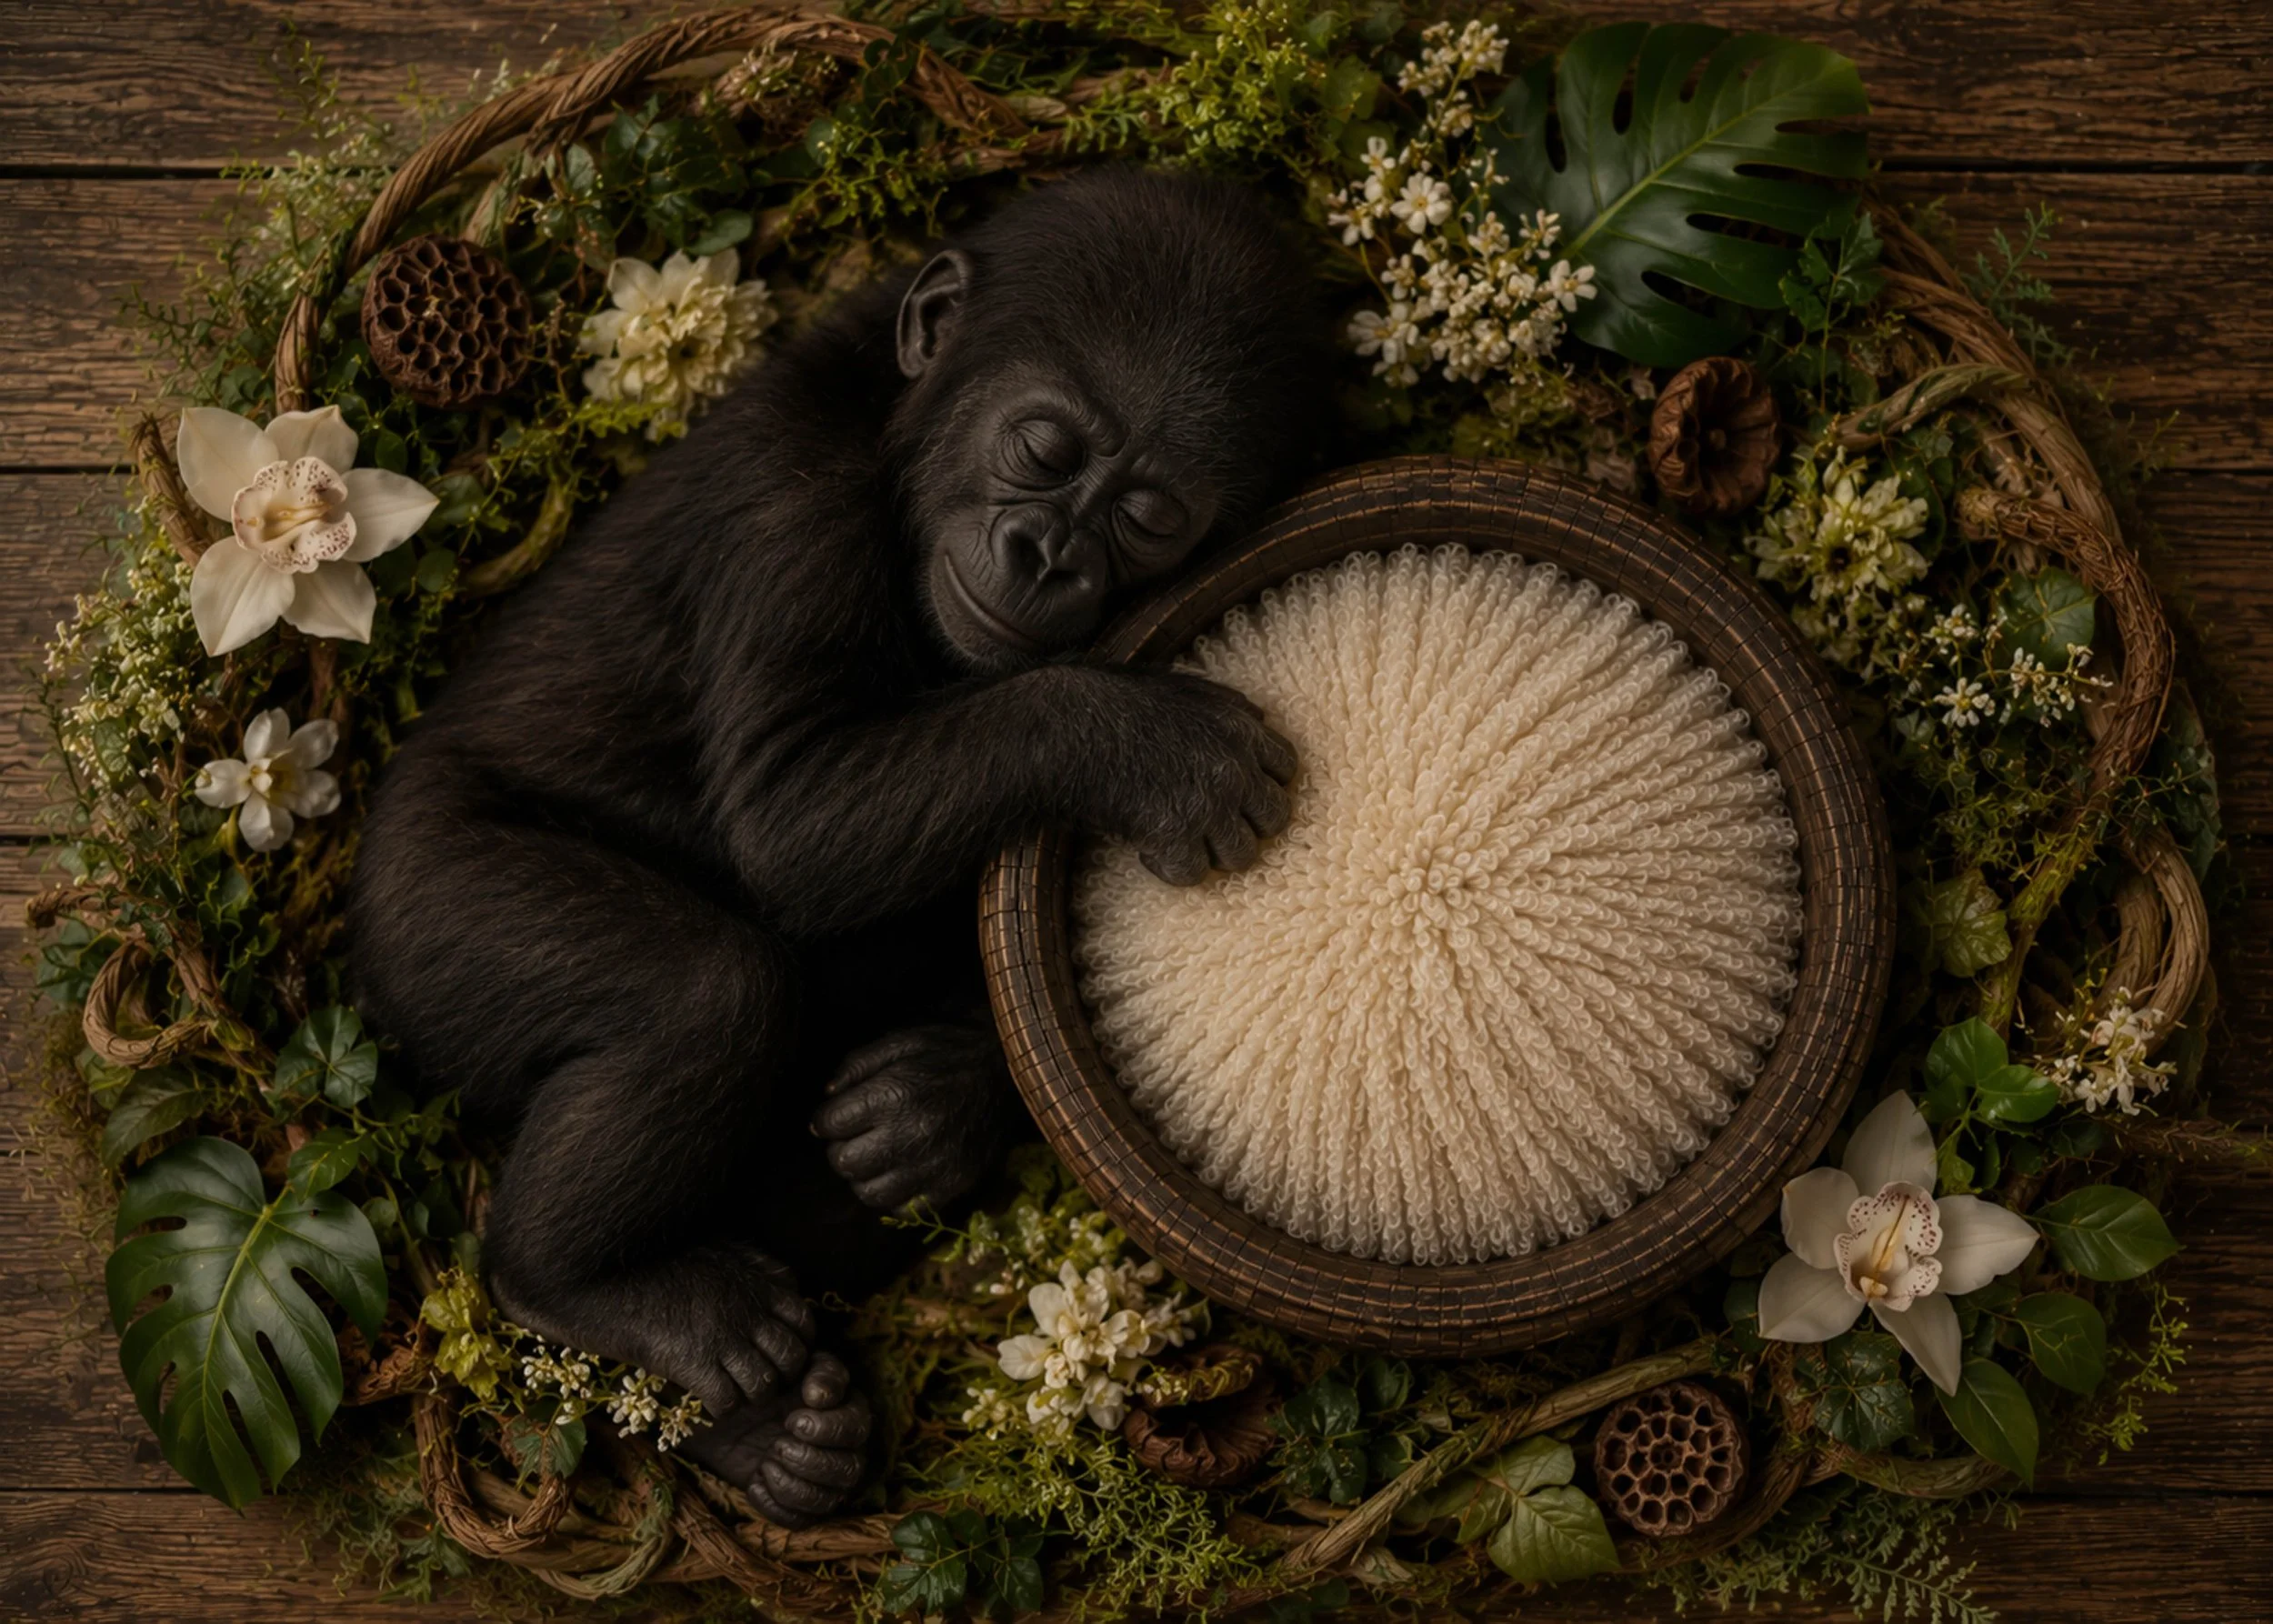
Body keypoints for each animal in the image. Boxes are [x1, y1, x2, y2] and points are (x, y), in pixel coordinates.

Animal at [345, 167, 1330, 1524]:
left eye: (1148, 518)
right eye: (1042, 449)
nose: (1045, 555)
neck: (895, 438)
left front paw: (938, 1102)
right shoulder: (789, 509)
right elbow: (793, 818)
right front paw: (1153, 745)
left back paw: (769, 1432)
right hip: (419, 901)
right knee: (703, 992)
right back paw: (583, 1287)